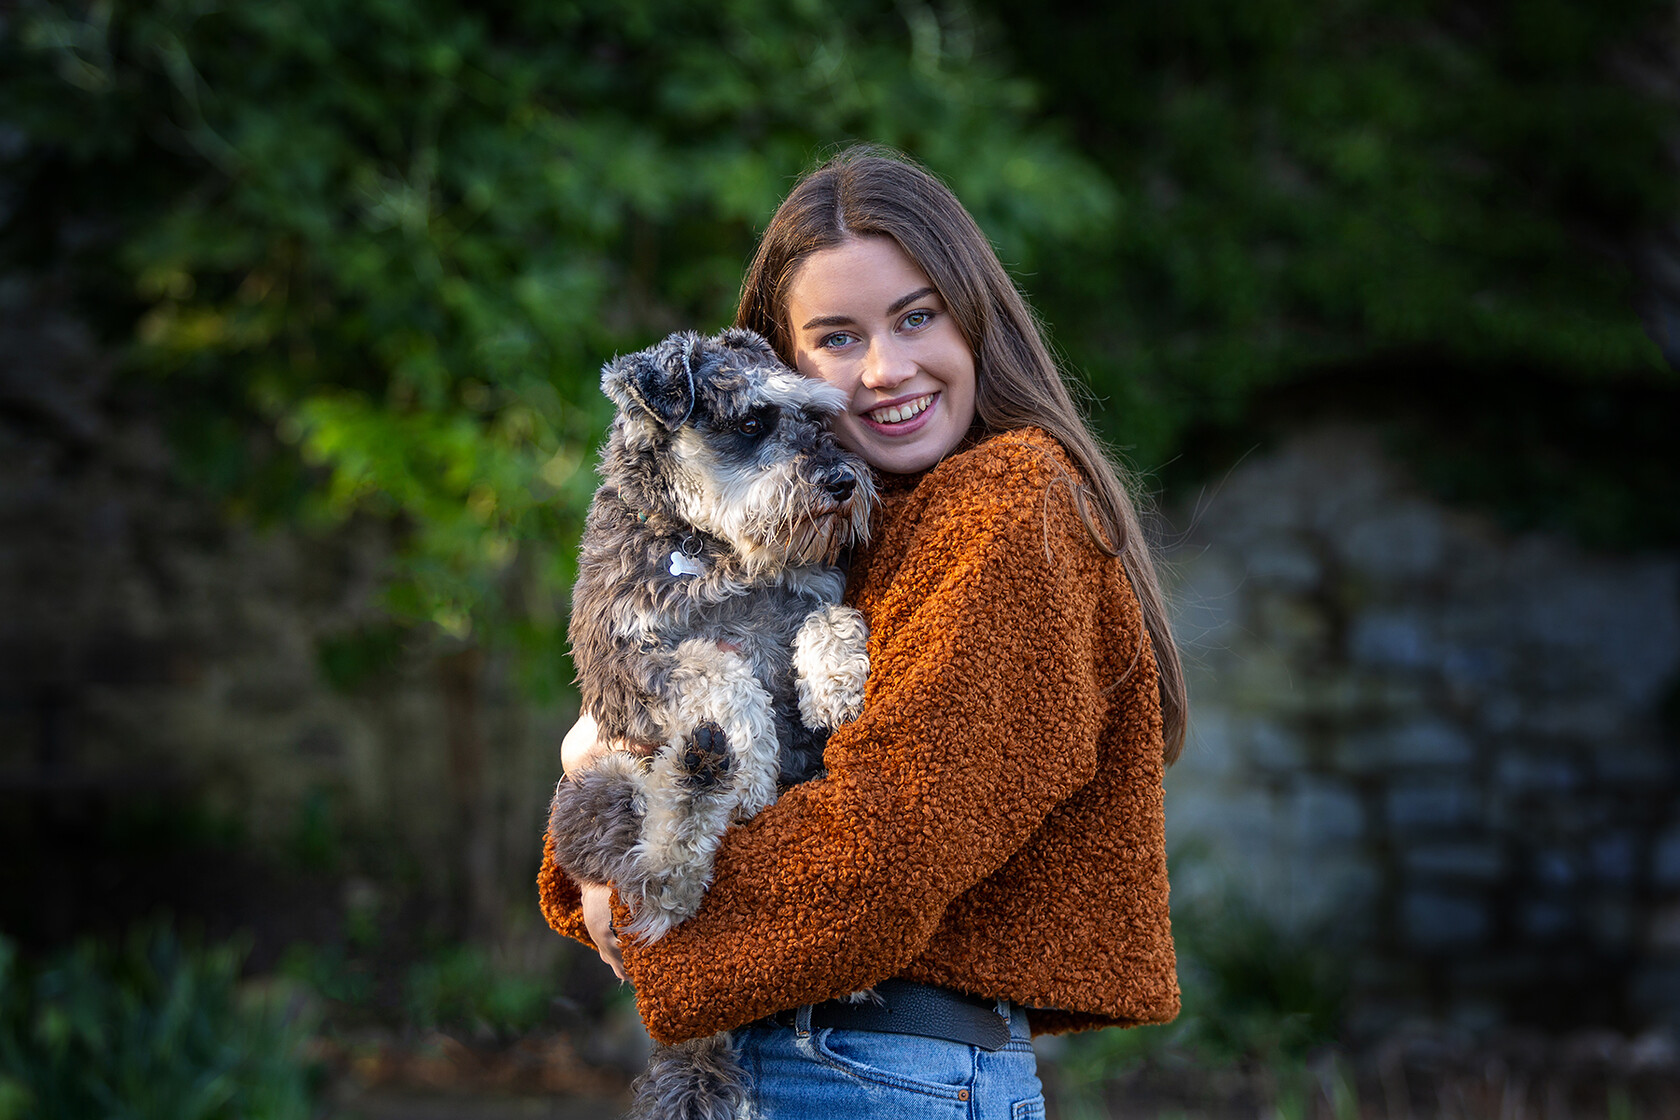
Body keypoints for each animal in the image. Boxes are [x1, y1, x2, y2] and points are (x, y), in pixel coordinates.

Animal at [547, 325, 873, 1120]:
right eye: (752, 421)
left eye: (817, 416)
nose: (841, 482)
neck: (709, 548)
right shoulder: (623, 667)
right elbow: (718, 670)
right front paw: (751, 765)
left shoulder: (806, 592)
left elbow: (824, 615)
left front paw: (835, 683)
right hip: (598, 787)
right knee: (660, 880)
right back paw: (706, 773)